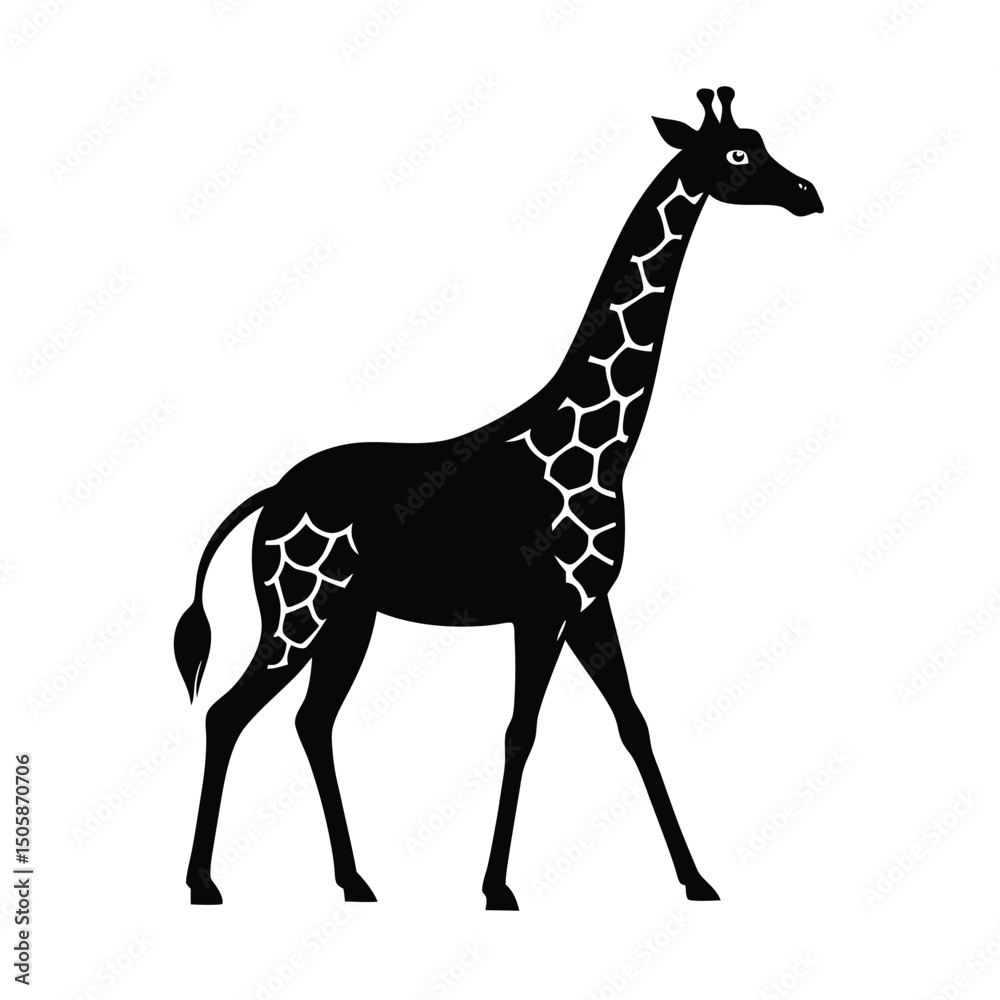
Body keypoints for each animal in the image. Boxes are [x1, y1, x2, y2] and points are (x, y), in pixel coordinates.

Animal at [176, 87, 822, 910]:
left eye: (763, 143)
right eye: (739, 154)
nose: (808, 194)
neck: (608, 443)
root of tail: (273, 495)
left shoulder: (589, 603)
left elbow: (634, 724)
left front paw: (697, 880)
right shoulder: (541, 607)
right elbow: (521, 731)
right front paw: (497, 888)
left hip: (349, 619)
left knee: (311, 721)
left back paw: (355, 881)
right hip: (301, 609)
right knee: (228, 713)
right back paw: (204, 882)